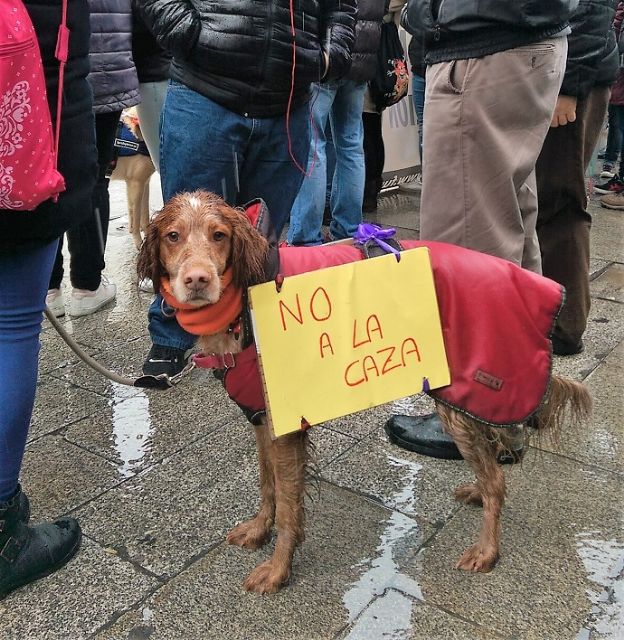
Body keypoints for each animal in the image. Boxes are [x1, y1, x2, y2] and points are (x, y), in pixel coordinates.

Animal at [136, 189, 588, 596]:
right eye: (173, 236)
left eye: (218, 235)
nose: (197, 280)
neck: (244, 299)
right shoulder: (263, 419)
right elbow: (267, 486)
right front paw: (259, 530)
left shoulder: (286, 427)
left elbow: (288, 508)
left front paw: (278, 571)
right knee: (494, 458)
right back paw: (477, 491)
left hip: (460, 401)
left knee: (498, 480)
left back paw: (486, 550)